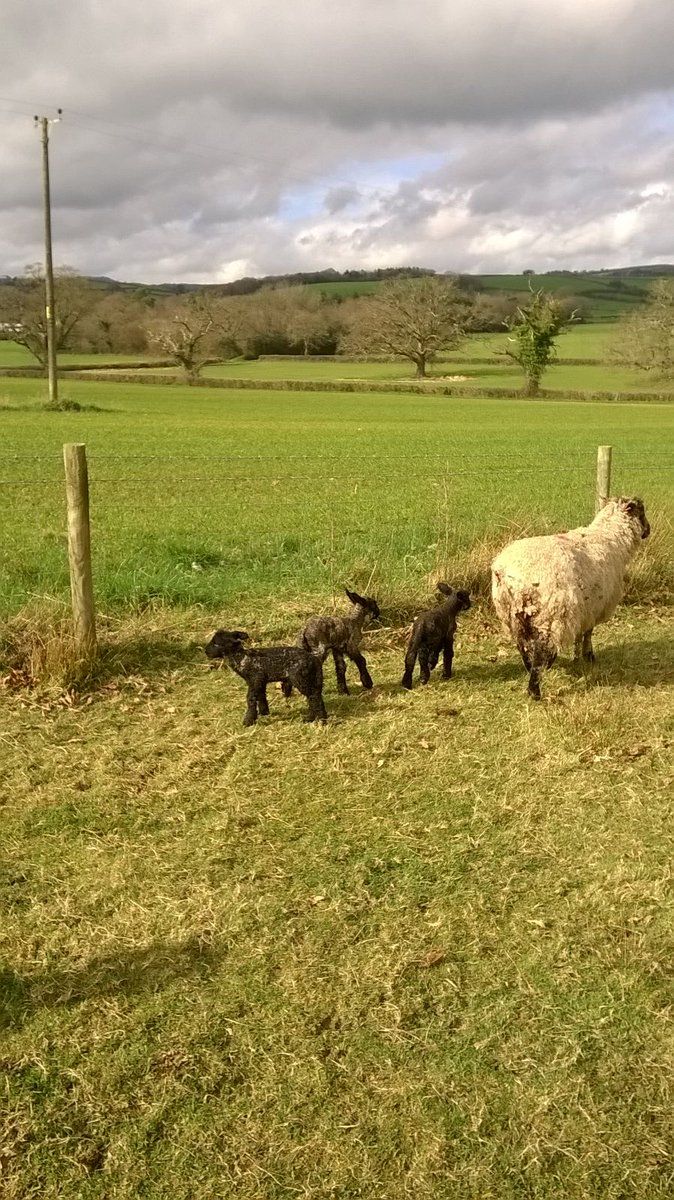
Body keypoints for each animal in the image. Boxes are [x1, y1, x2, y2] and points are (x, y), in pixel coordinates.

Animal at [491, 496, 651, 699]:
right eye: (642, 511)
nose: (648, 530)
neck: (611, 537)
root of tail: (506, 571)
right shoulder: (593, 608)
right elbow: (588, 633)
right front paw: (588, 656)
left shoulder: (585, 607)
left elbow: (581, 634)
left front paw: (578, 657)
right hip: (550, 615)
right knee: (540, 652)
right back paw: (535, 691)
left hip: (512, 615)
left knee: (524, 649)